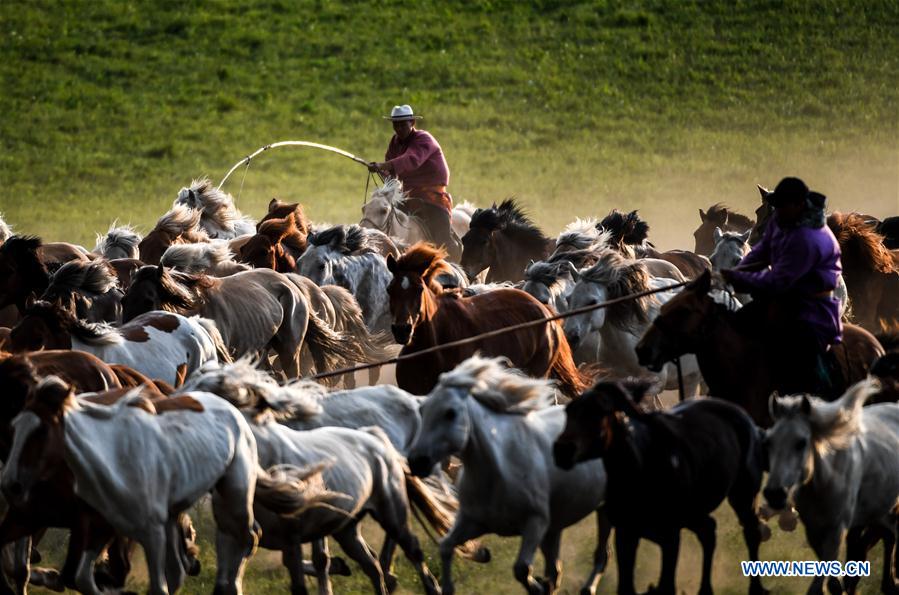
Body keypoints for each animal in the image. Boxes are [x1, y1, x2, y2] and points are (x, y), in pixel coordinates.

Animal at [1, 377, 327, 595]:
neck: (112, 454)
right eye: (15, 427)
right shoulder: (101, 526)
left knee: (248, 536)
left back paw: (231, 585)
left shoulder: (151, 532)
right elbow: (81, 578)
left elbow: (158, 587)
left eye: (42, 431)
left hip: (232, 492)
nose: (10, 485)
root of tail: (234, 411)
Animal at [407, 356, 611, 595]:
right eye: (422, 410)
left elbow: (522, 568)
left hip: (606, 507)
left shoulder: (535, 523)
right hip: (559, 523)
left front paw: (538, 586)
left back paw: (587, 587)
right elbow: (446, 546)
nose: (417, 461)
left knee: (601, 554)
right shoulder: (473, 522)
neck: (496, 472)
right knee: (556, 567)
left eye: (450, 413)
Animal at [553, 378, 769, 595]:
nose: (561, 450)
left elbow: (666, 583)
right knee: (708, 530)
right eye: (569, 412)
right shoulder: (626, 533)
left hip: (743, 493)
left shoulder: (670, 536)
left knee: (750, 531)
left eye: (598, 412)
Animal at [764, 380, 899, 594]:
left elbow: (821, 584)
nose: (774, 494)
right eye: (768, 442)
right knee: (888, 535)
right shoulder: (813, 530)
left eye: (801, 442)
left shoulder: (837, 529)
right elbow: (833, 580)